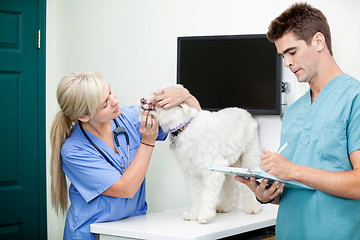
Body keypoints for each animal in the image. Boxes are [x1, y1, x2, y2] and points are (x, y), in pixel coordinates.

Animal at [140, 84, 262, 223]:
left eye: (158, 96)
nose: (142, 100)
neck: (184, 127)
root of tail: (247, 113)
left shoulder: (212, 171)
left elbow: (207, 195)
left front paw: (204, 215)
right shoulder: (191, 173)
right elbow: (195, 196)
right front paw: (193, 214)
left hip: (249, 159)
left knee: (249, 187)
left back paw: (253, 208)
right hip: (228, 167)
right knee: (232, 187)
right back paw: (225, 206)